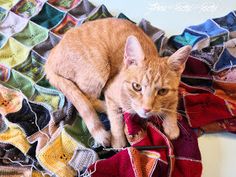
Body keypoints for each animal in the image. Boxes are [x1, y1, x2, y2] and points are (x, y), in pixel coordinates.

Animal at [44, 17, 192, 148]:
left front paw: (172, 126)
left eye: (162, 91)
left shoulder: (174, 94)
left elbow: (172, 106)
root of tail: (50, 58)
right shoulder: (110, 92)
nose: (146, 109)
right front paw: (118, 140)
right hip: (99, 63)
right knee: (87, 99)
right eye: (136, 87)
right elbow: (116, 121)